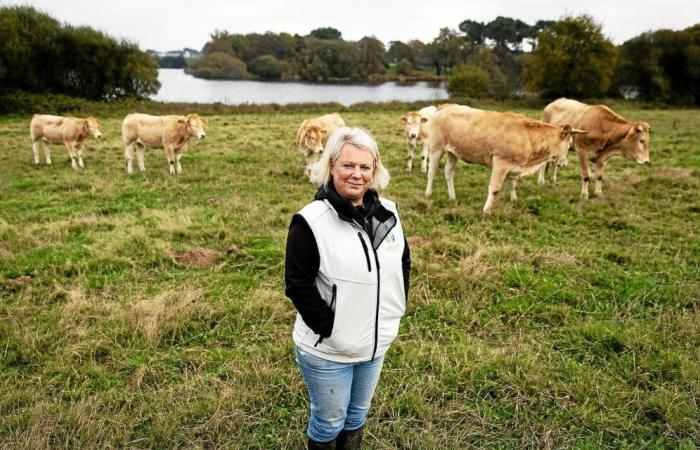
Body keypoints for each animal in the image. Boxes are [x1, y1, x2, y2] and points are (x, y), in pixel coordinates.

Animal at [426, 104, 584, 214]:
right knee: (432, 172)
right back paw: (428, 193)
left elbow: (512, 184)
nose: (565, 163)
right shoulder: (501, 162)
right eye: (569, 143)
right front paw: (486, 210)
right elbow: (494, 188)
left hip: (454, 153)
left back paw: (452, 196)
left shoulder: (513, 165)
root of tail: (445, 107)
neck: (527, 136)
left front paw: (514, 200)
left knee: (448, 172)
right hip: (436, 149)